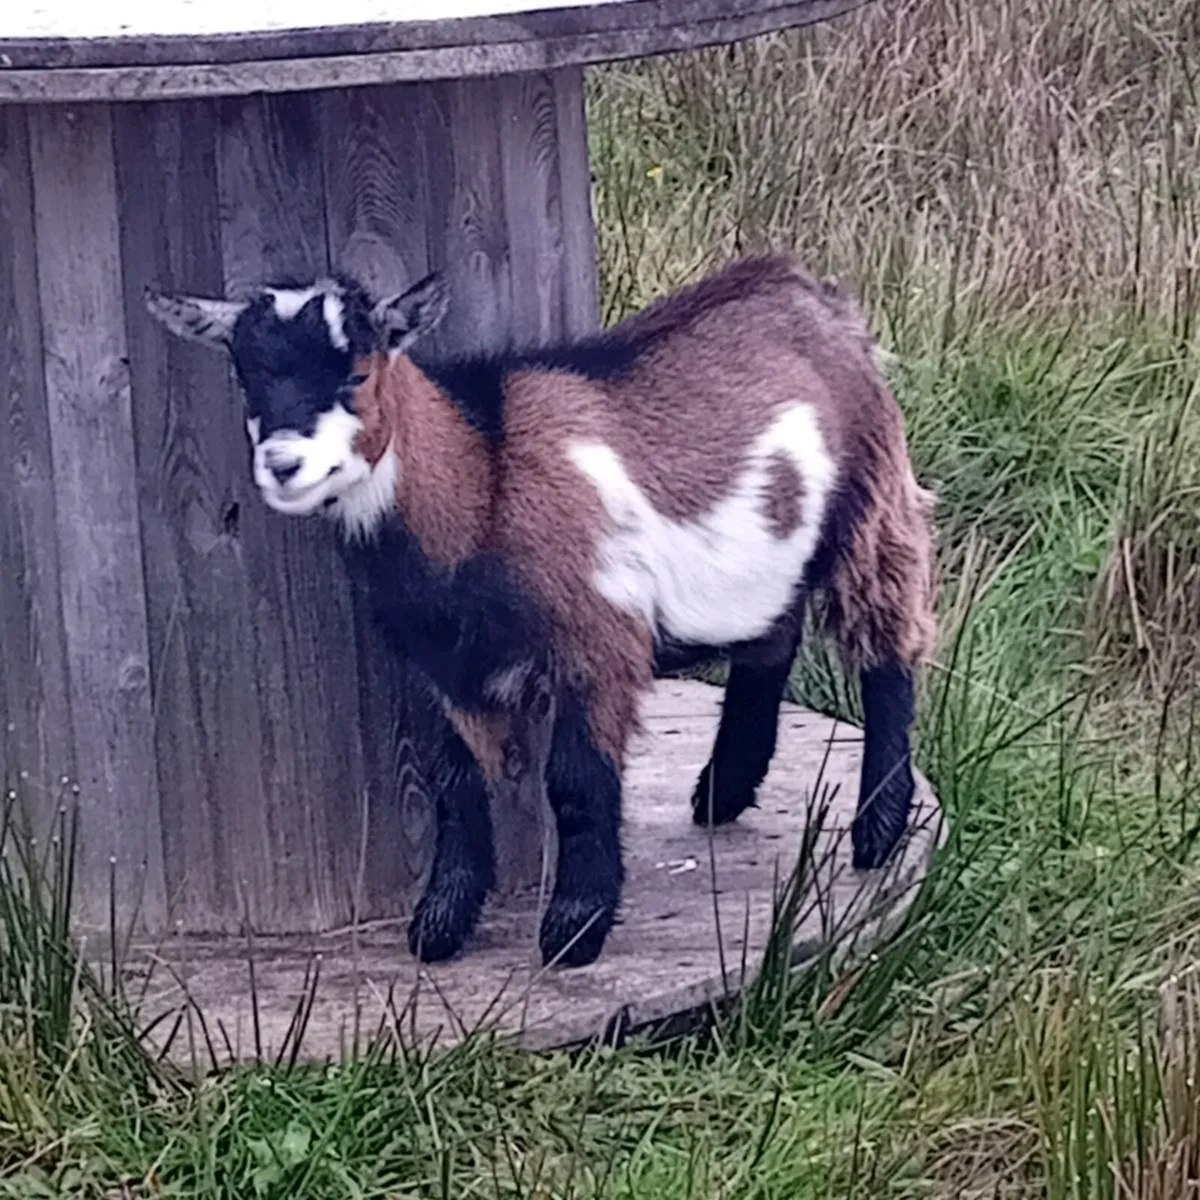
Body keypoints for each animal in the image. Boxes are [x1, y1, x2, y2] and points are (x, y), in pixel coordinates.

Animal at [144, 253, 937, 969]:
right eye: (245, 378)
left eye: (357, 374)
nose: (283, 465)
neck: (483, 477)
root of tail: (812, 294)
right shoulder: (446, 667)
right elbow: (456, 787)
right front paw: (441, 922)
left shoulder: (598, 637)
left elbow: (578, 782)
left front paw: (574, 930)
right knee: (772, 638)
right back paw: (724, 788)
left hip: (872, 497)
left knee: (889, 649)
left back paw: (877, 828)